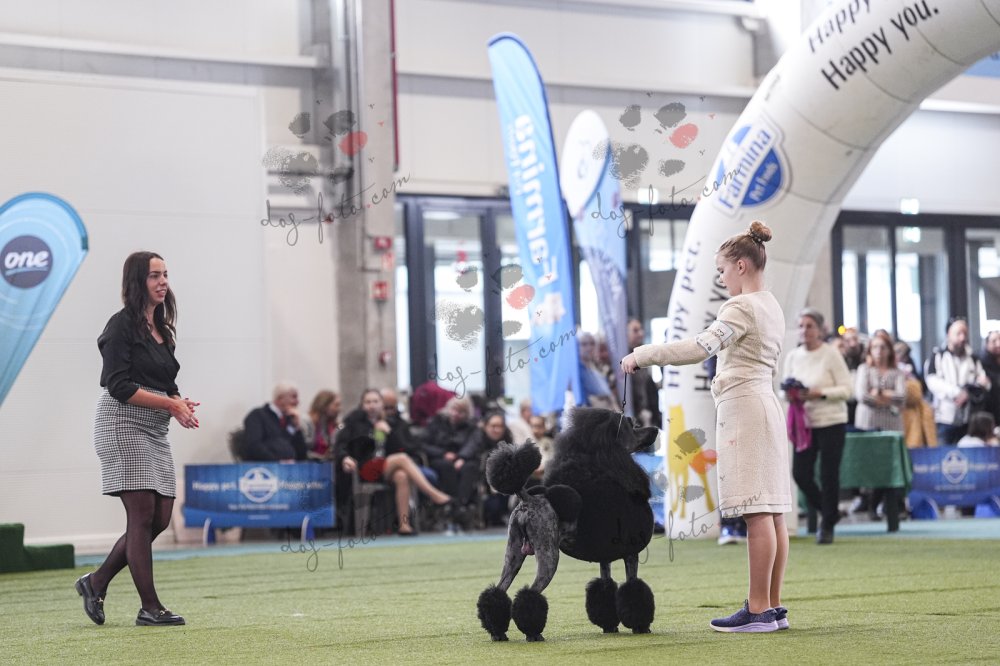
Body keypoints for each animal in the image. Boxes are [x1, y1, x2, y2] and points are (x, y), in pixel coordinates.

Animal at [477, 408, 660, 642]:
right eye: (632, 426)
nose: (655, 429)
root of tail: (526, 499)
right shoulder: (631, 553)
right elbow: (633, 586)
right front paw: (640, 626)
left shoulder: (604, 558)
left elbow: (605, 586)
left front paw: (609, 625)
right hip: (548, 553)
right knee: (531, 592)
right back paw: (533, 634)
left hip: (514, 551)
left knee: (498, 591)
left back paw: (498, 633)